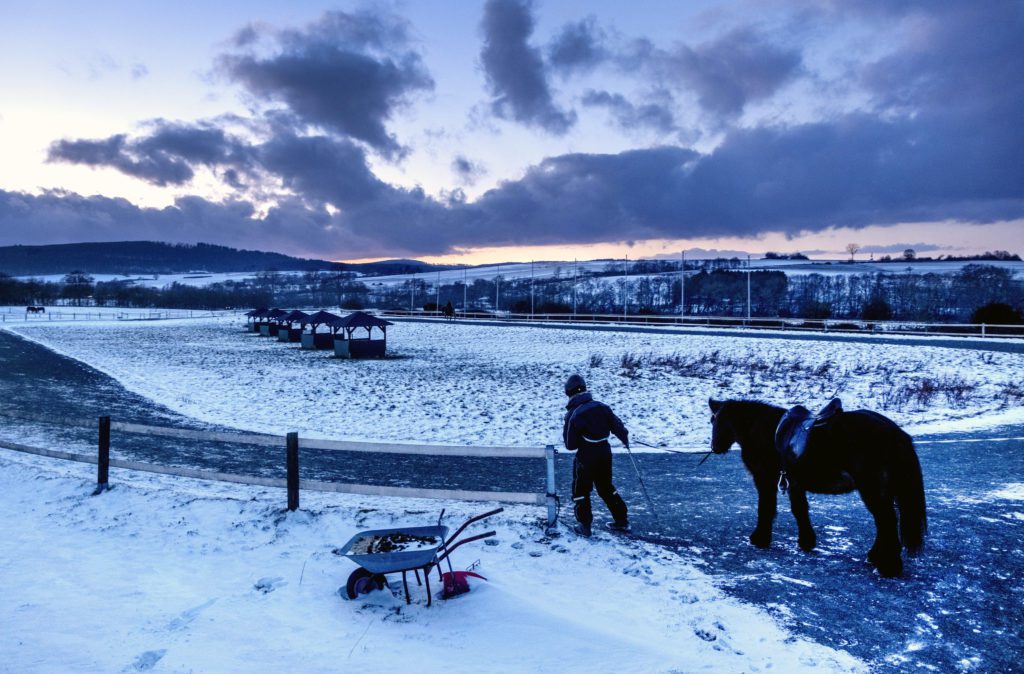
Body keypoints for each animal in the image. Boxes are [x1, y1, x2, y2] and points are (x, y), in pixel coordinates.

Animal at [708, 395, 925, 573]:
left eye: (715, 420)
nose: (715, 447)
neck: (765, 431)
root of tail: (895, 433)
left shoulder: (765, 479)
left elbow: (766, 508)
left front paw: (759, 539)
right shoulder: (794, 483)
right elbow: (800, 510)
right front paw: (807, 542)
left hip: (873, 489)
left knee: (886, 521)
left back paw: (888, 566)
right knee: (885, 522)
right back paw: (875, 557)